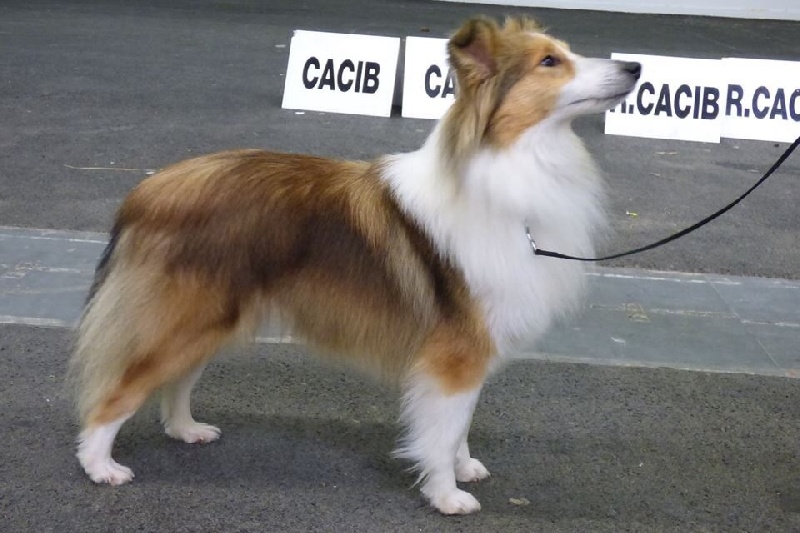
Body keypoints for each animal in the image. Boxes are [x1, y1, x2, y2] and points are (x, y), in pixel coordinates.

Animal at [70, 16, 640, 515]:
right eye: (550, 61)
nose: (635, 66)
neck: (510, 166)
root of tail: (149, 190)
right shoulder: (454, 356)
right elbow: (441, 430)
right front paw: (446, 495)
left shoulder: (471, 351)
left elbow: (458, 425)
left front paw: (463, 467)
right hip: (182, 320)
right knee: (117, 391)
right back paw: (100, 466)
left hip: (212, 320)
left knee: (176, 382)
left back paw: (186, 429)